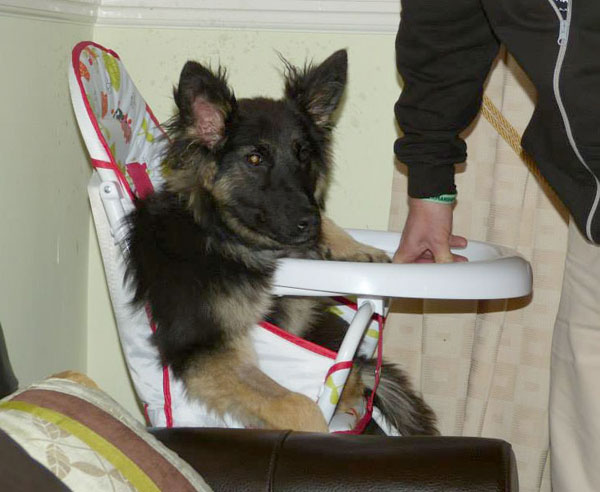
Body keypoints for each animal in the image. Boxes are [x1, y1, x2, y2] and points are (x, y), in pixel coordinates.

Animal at [125, 50, 436, 434]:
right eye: (255, 158)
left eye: (303, 154)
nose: (310, 223)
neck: (224, 236)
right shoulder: (203, 347)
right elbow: (298, 405)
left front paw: (355, 246)